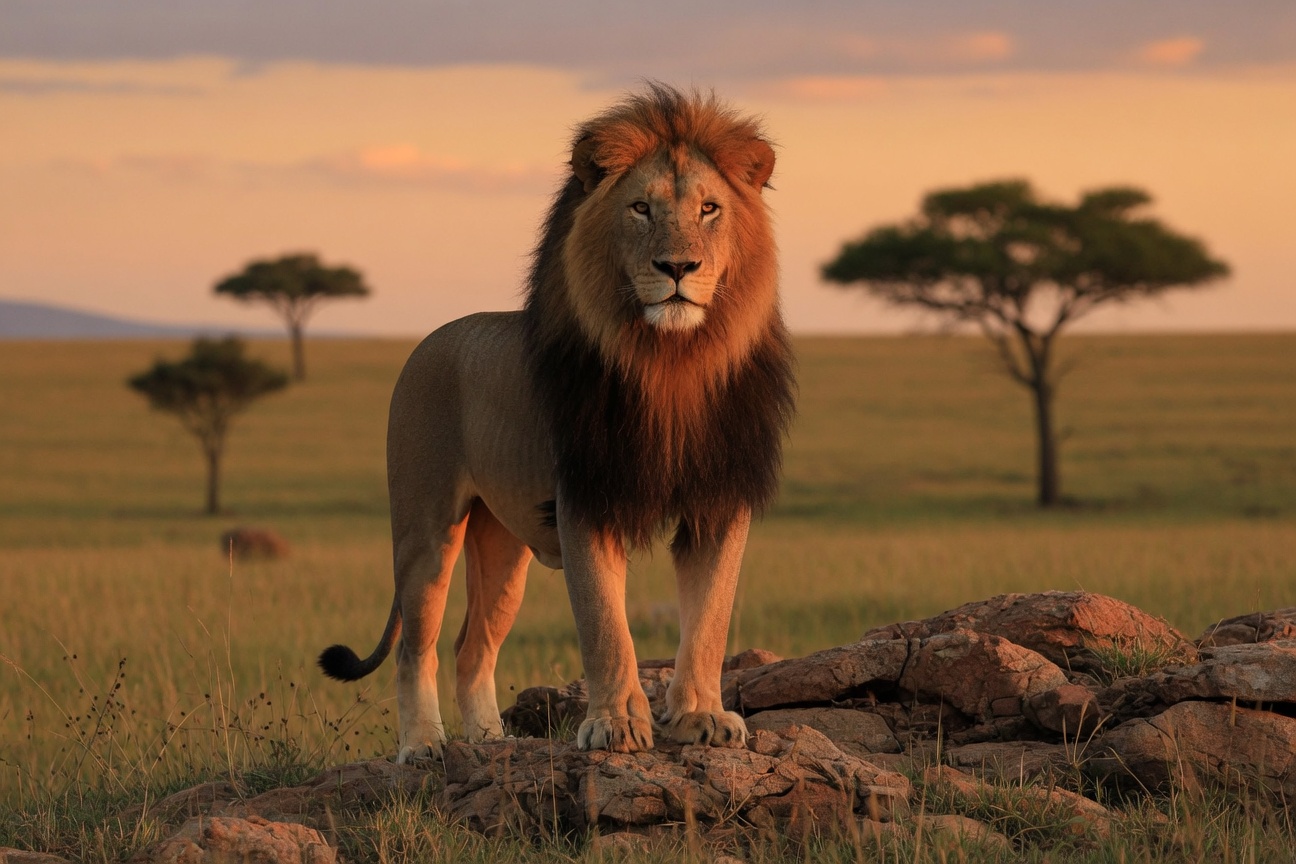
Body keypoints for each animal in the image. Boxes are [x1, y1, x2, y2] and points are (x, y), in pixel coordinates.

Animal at [319, 84, 794, 761]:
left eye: (709, 209)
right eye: (640, 208)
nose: (678, 267)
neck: (672, 363)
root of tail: (430, 340)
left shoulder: (719, 497)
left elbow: (709, 619)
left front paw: (703, 717)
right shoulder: (584, 496)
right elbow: (604, 624)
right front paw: (615, 726)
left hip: (501, 547)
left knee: (471, 647)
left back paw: (490, 741)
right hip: (425, 528)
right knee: (416, 645)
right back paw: (424, 747)